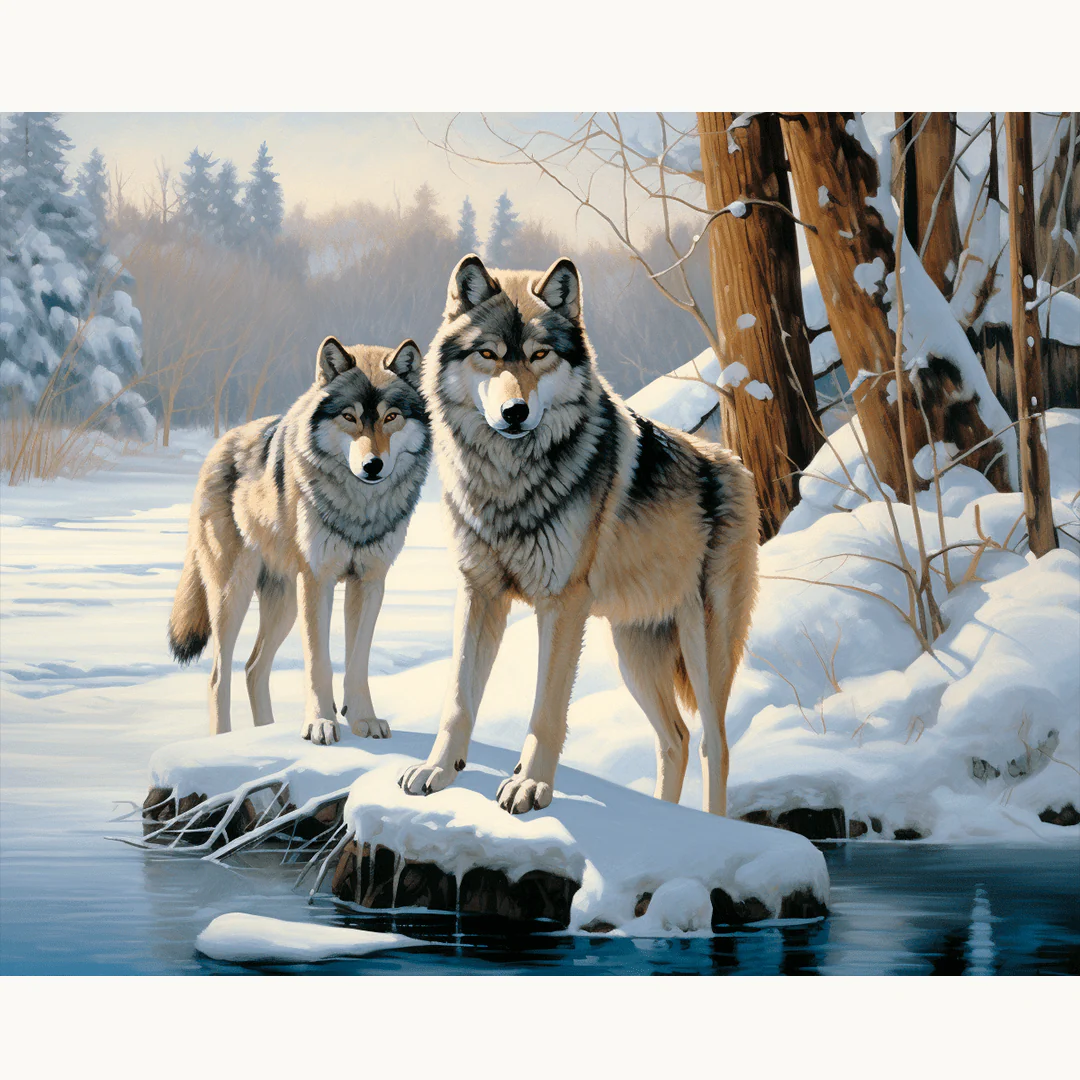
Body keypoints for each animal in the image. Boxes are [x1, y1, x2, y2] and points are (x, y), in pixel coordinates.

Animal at [167, 336, 431, 744]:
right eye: (350, 417)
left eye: (391, 417)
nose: (373, 465)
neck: (359, 510)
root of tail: (218, 446)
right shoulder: (317, 581)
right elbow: (318, 662)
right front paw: (320, 724)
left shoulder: (370, 582)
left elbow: (358, 662)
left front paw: (364, 721)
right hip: (233, 596)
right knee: (218, 676)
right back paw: (223, 741)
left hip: (284, 603)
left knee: (253, 668)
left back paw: (265, 731)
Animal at [399, 254, 759, 815]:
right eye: (488, 354)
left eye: (540, 354)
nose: (515, 412)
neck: (508, 483)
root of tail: (734, 463)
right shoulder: (477, 591)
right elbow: (458, 698)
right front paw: (437, 771)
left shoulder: (562, 604)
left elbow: (546, 711)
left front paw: (529, 787)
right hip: (631, 651)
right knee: (675, 739)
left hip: (704, 646)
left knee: (713, 744)